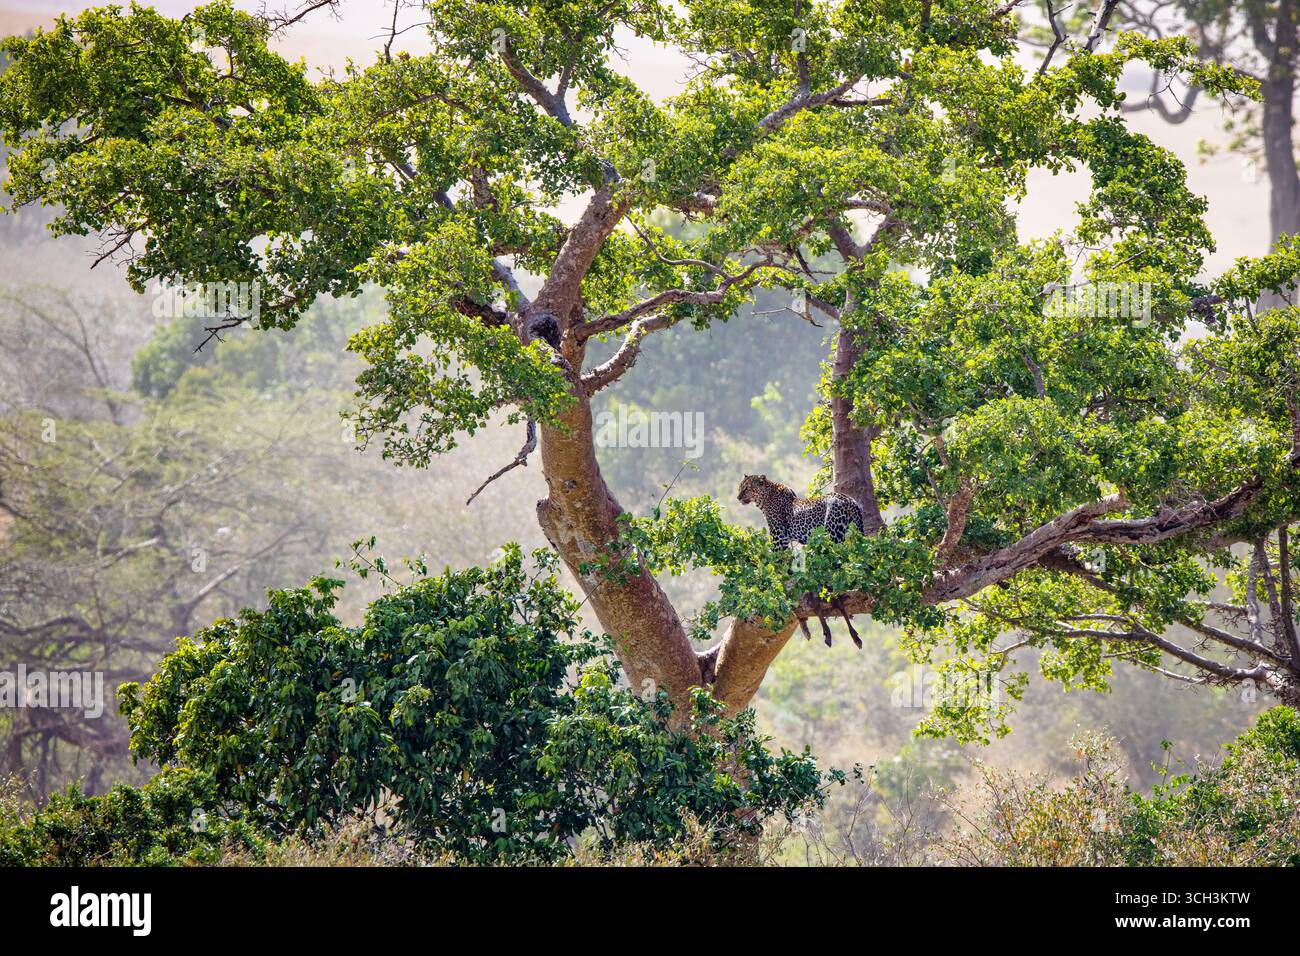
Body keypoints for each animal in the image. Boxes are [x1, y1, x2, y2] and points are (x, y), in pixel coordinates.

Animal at [737, 473, 864, 649]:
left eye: (747, 488)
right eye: (740, 487)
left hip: (832, 537)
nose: (738, 497)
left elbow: (773, 565)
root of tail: (852, 502)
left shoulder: (779, 539)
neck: (765, 497)